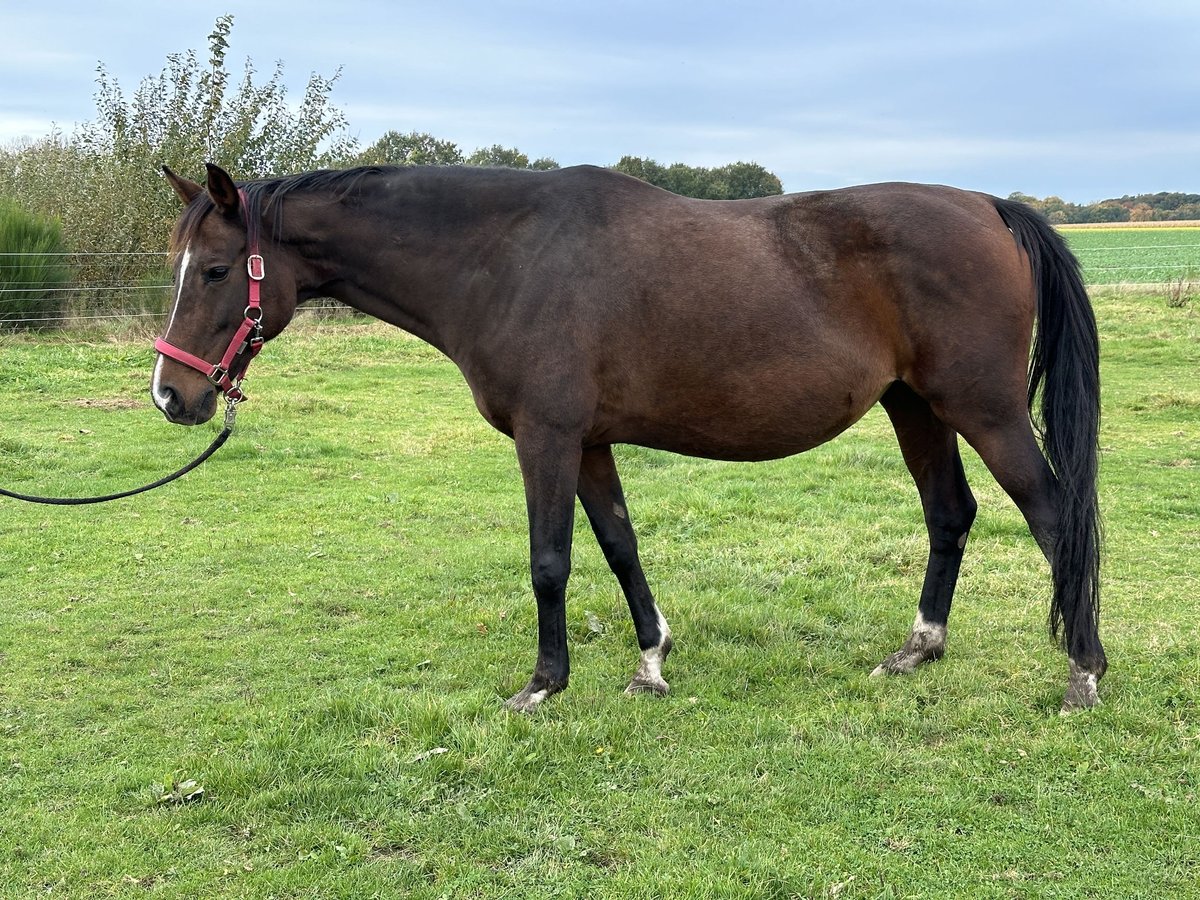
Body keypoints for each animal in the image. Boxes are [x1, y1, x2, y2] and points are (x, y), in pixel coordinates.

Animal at [152, 160, 1104, 710]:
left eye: (215, 270)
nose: (172, 395)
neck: (504, 256)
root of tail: (989, 206)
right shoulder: (589, 443)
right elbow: (618, 545)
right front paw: (652, 659)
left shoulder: (545, 437)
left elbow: (549, 560)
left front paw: (543, 684)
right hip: (915, 407)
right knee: (951, 515)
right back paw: (919, 650)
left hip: (983, 409)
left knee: (1056, 520)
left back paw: (1083, 674)